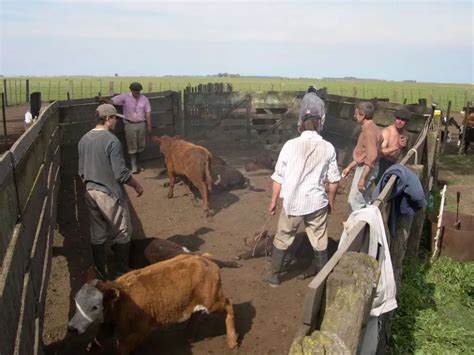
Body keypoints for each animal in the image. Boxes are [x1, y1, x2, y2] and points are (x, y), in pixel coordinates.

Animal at [68, 254, 239, 354]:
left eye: (95, 307)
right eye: (76, 300)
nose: (71, 328)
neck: (120, 303)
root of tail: (204, 258)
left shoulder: (139, 332)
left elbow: (121, 348)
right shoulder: (108, 324)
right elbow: (98, 337)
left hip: (212, 302)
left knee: (229, 305)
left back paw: (232, 342)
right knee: (196, 314)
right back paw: (189, 336)